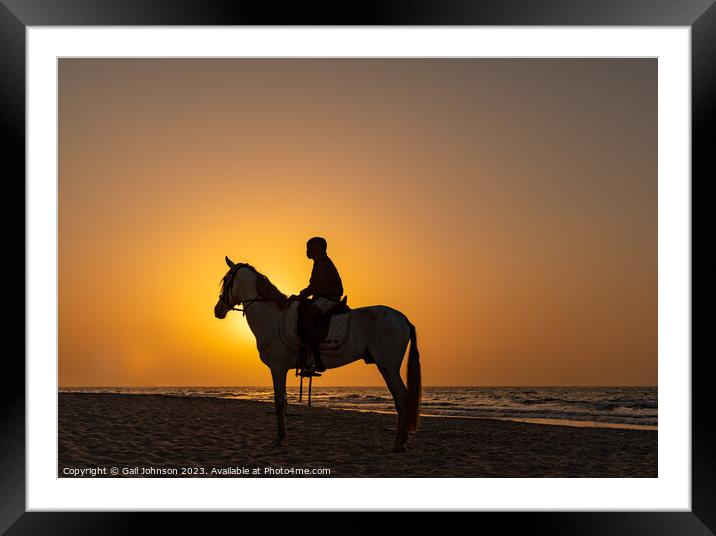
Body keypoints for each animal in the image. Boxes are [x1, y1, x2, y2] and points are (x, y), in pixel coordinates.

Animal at [215, 255, 422, 452]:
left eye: (226, 280)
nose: (217, 310)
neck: (273, 317)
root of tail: (403, 318)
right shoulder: (281, 369)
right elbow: (283, 402)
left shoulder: (278, 368)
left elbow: (279, 403)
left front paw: (279, 439)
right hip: (387, 368)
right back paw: (400, 442)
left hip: (388, 367)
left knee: (402, 399)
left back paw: (399, 444)